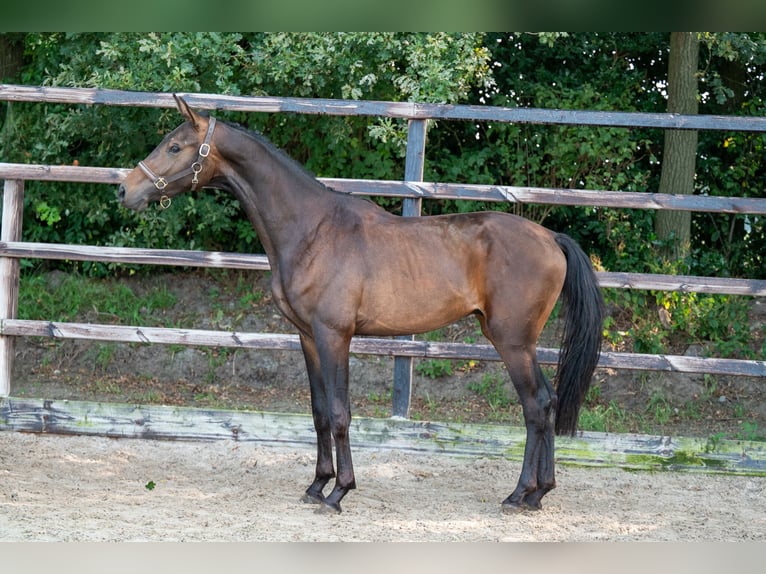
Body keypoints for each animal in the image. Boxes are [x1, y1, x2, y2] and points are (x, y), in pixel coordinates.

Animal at [118, 95, 608, 516]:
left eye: (175, 146)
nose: (125, 190)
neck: (312, 229)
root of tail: (552, 238)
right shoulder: (308, 336)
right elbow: (319, 412)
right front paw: (316, 485)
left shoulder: (335, 335)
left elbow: (340, 412)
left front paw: (339, 492)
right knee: (546, 402)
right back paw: (538, 493)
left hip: (511, 341)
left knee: (536, 405)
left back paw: (520, 494)